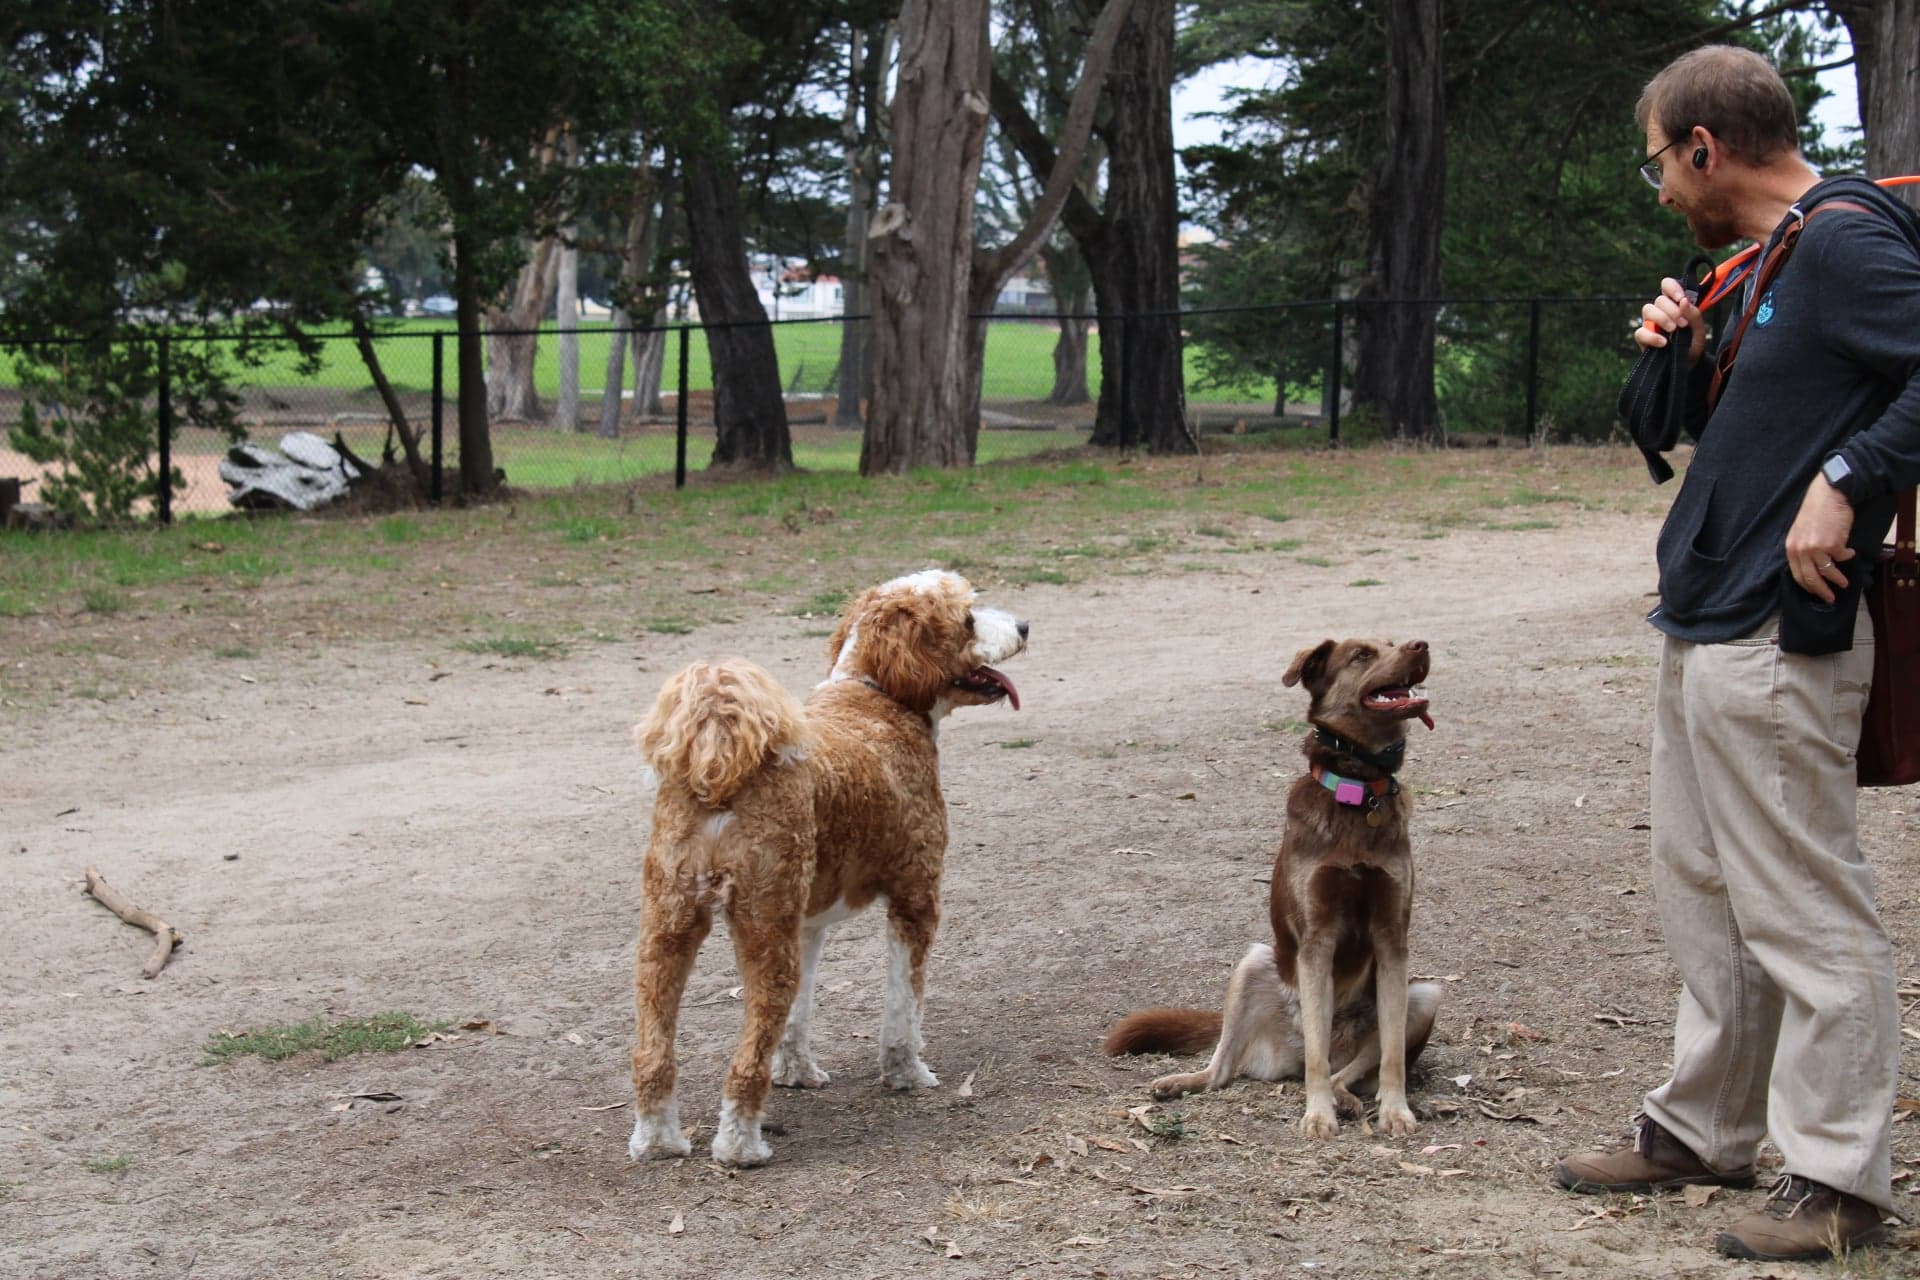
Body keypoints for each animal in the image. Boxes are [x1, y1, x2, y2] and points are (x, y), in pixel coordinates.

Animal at [1098, 640, 1443, 1143]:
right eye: (1362, 654)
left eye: (1394, 642)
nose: (1421, 645)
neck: (1358, 788)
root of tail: (1287, 1058)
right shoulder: (1316, 940)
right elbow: (1317, 1057)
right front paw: (1318, 1116)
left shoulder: (1392, 938)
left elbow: (1393, 1057)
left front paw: (1395, 1112)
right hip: (1253, 963)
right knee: (1233, 1068)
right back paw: (1183, 1081)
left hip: (1426, 995)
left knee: (1348, 1070)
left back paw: (1346, 1097)